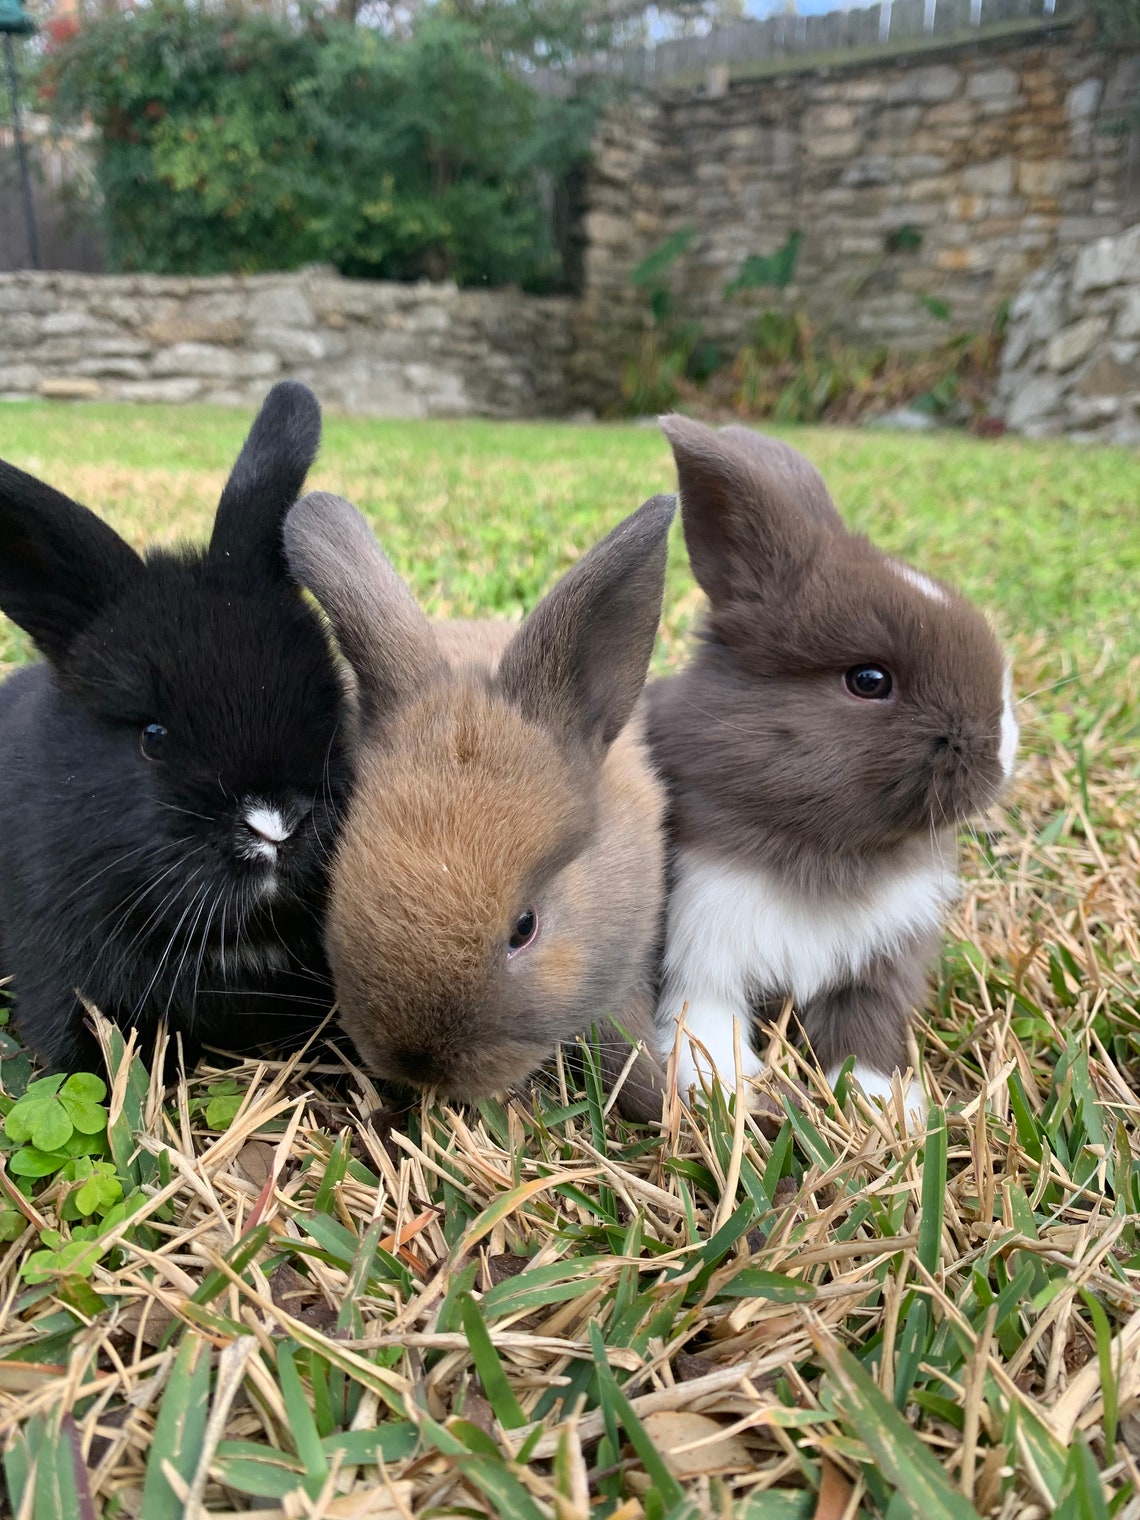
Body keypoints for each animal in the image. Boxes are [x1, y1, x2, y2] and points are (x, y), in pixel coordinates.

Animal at [646, 416, 1018, 1119]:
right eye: (868, 680)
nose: (1000, 752)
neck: (824, 852)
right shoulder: (703, 945)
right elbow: (706, 1027)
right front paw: (731, 1095)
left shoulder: (875, 967)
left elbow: (865, 1036)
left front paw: (888, 1110)